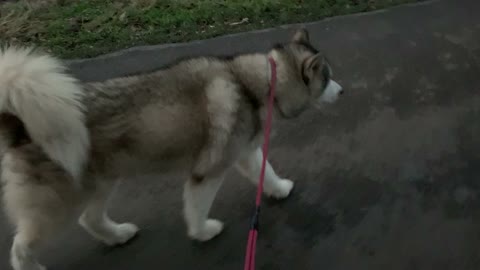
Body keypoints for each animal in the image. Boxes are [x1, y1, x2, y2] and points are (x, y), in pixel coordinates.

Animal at [0, 28, 342, 268]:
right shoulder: (208, 171)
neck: (255, 83)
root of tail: (20, 127)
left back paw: (118, 235)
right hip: (57, 206)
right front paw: (202, 232)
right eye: (327, 78)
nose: (341, 91)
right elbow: (197, 206)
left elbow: (265, 170)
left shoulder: (245, 152)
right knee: (21, 247)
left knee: (90, 219)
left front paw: (278, 188)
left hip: (100, 182)